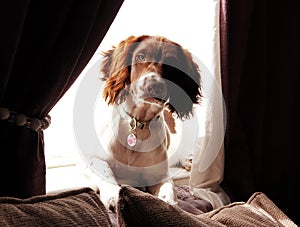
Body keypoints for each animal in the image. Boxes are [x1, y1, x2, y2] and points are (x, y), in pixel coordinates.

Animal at [97, 34, 203, 210]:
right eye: (140, 56)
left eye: (172, 64)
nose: (154, 86)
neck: (138, 124)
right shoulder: (91, 157)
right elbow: (104, 171)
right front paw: (112, 195)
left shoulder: (159, 175)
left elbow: (169, 192)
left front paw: (169, 203)